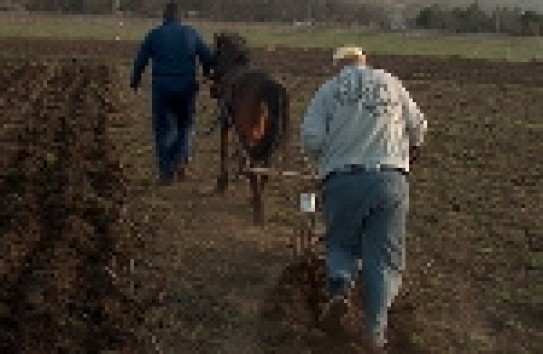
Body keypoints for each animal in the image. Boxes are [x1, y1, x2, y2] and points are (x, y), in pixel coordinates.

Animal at [208, 31, 292, 224]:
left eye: (216, 52)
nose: (213, 89)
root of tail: (273, 88)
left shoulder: (226, 122)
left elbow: (223, 149)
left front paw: (222, 182)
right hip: (269, 140)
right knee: (265, 169)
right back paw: (256, 199)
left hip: (251, 136)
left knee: (254, 166)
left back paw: (258, 209)